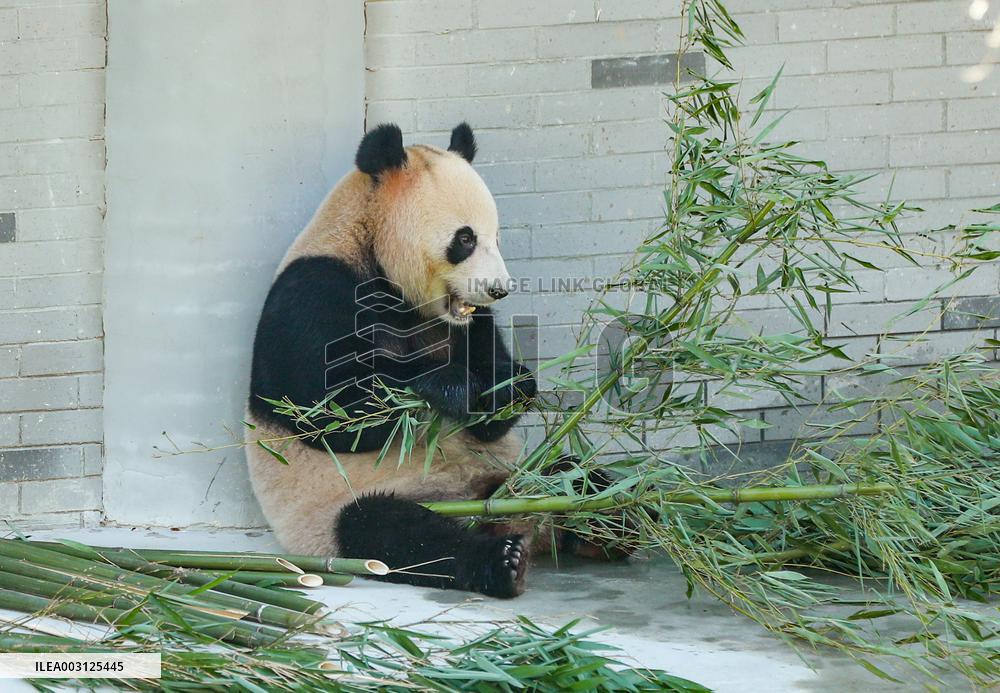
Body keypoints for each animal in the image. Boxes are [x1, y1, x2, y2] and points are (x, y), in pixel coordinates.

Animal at [245, 123, 542, 598]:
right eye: (465, 239)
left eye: (496, 237)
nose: (498, 289)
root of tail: (477, 504)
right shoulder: (313, 290)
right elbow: (326, 411)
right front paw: (448, 384)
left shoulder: (470, 324)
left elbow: (490, 416)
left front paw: (509, 387)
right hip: (338, 508)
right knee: (395, 533)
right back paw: (502, 561)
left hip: (512, 472)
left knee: (572, 472)